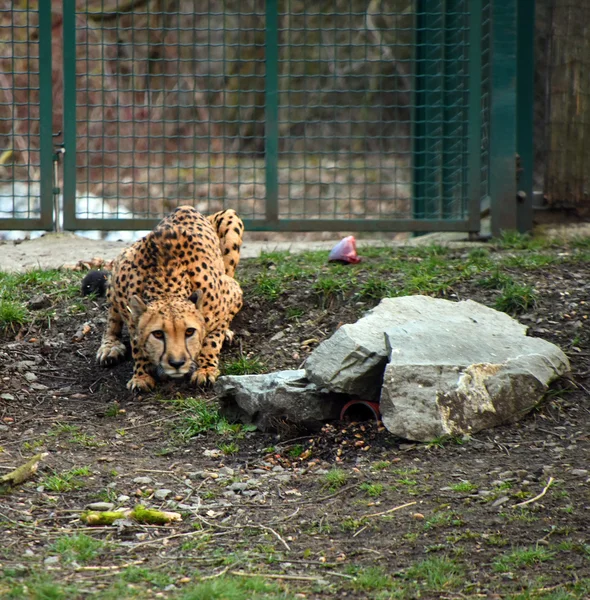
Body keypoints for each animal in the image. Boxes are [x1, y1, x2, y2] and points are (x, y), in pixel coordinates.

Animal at [96, 206, 244, 394]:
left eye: (189, 332)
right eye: (158, 334)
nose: (177, 363)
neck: (165, 288)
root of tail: (185, 207)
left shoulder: (234, 293)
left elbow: (212, 338)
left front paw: (205, 368)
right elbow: (136, 341)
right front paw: (141, 375)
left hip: (230, 219)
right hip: (118, 265)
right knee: (112, 318)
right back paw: (110, 346)